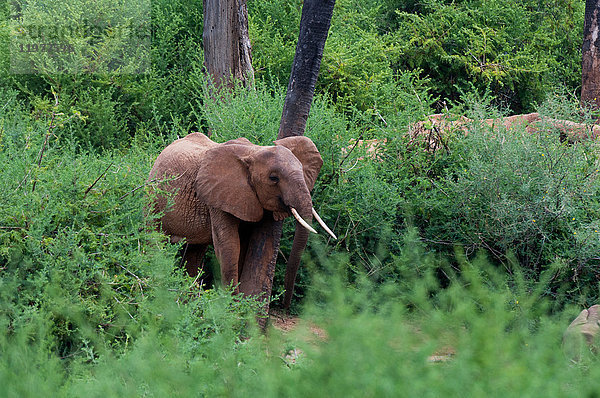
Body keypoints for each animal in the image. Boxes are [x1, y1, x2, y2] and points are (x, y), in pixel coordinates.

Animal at [148, 133, 336, 304]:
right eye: (273, 178)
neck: (254, 151)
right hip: (153, 198)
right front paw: (234, 306)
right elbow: (229, 244)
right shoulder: (217, 196)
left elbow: (244, 244)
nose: (285, 306)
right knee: (154, 237)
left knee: (195, 251)